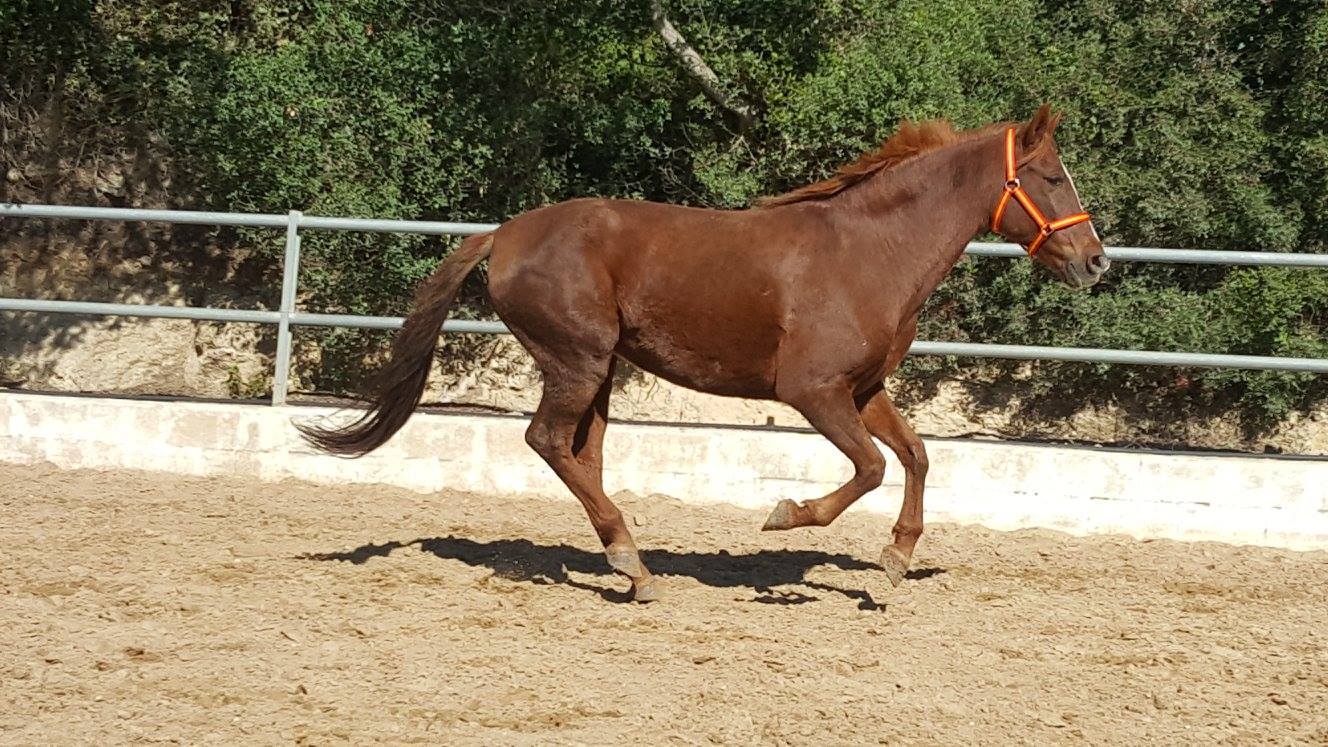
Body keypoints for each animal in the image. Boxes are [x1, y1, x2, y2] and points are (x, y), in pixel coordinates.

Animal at [298, 105, 1108, 602]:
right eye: (1051, 177)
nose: (1096, 261)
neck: (869, 252)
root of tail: (503, 235)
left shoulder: (865, 388)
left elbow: (914, 456)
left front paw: (894, 562)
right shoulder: (813, 391)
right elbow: (871, 468)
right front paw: (785, 516)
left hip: (601, 369)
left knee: (582, 452)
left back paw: (632, 566)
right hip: (577, 360)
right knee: (549, 441)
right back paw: (630, 559)